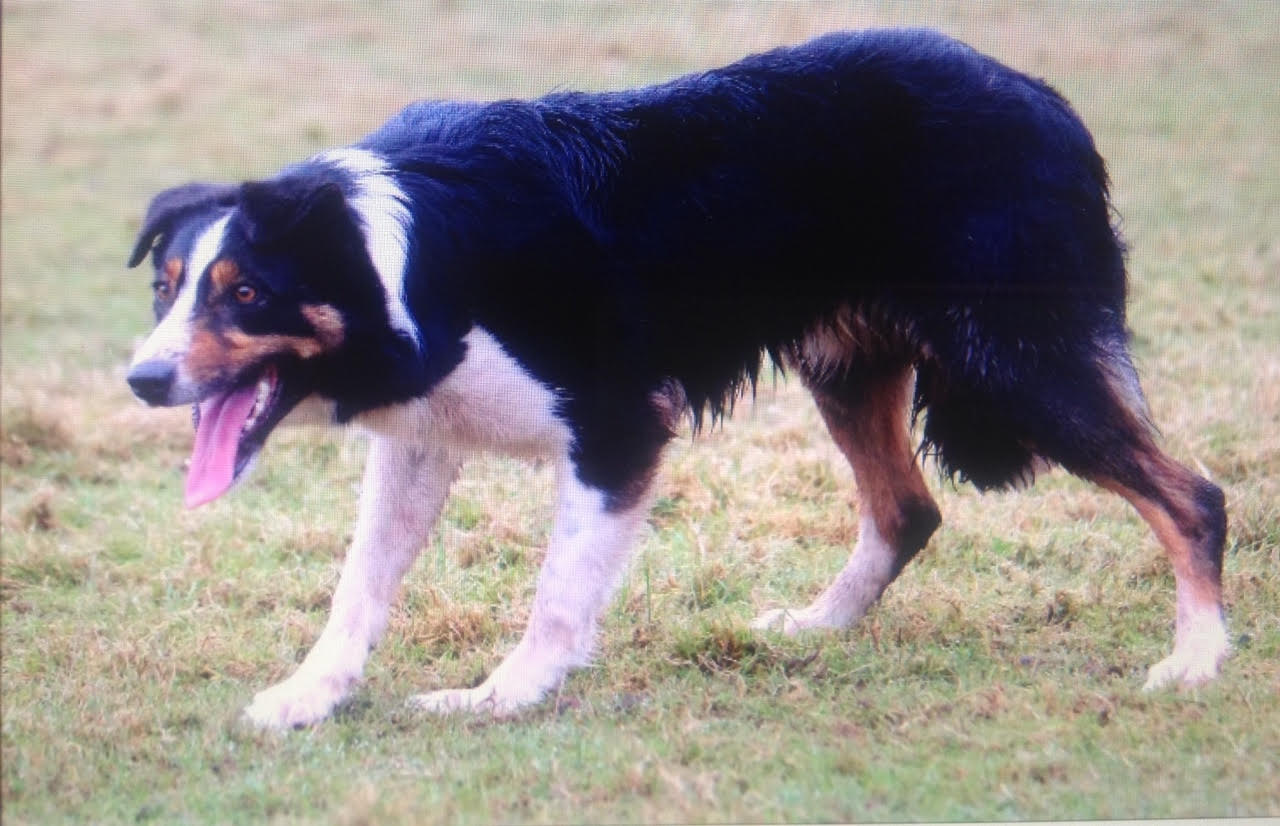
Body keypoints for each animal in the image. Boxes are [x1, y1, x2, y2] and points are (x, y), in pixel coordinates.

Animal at [126, 29, 1228, 728]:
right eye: (168, 288)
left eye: (245, 293)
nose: (139, 378)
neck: (399, 261)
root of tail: (1047, 99)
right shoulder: (422, 438)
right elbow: (357, 587)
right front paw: (306, 696)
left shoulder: (617, 428)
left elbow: (557, 593)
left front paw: (498, 697)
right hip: (850, 365)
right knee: (907, 509)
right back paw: (816, 628)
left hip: (1014, 359)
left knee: (1193, 495)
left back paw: (1196, 660)